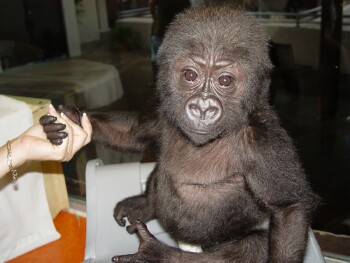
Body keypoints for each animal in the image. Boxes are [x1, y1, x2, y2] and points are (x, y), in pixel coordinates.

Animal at [41, 6, 318, 263]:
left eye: (225, 81)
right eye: (190, 75)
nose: (203, 108)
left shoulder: (263, 141)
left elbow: (288, 210)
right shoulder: (163, 108)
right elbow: (133, 132)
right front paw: (71, 117)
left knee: (252, 246)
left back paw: (160, 254)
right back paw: (145, 205)